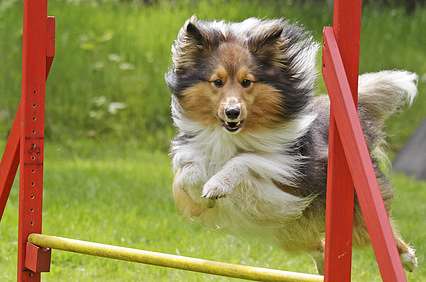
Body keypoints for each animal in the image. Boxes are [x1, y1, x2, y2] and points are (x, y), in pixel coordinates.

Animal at [165, 16, 418, 272]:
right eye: (217, 82)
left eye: (247, 82)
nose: (232, 112)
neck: (232, 136)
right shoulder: (189, 156)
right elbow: (190, 174)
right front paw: (203, 193)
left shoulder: (284, 169)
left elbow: (245, 159)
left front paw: (216, 185)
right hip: (290, 231)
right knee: (318, 245)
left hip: (352, 216)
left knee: (377, 232)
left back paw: (408, 259)